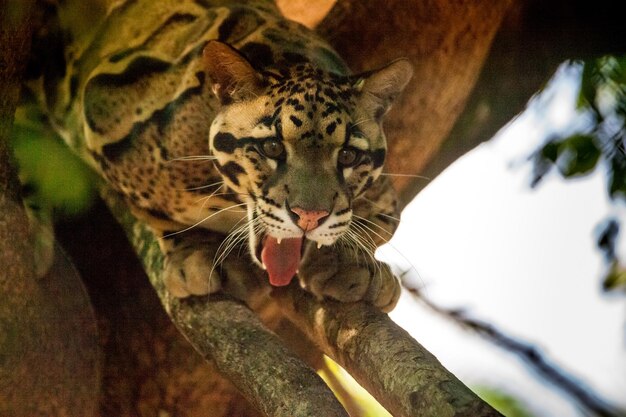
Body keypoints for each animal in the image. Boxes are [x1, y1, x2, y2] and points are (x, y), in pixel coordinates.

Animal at [28, 0, 410, 312]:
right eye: (272, 147)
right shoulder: (101, 109)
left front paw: (348, 260)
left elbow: (381, 220)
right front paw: (196, 251)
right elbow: (157, 214)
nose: (309, 217)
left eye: (347, 156)